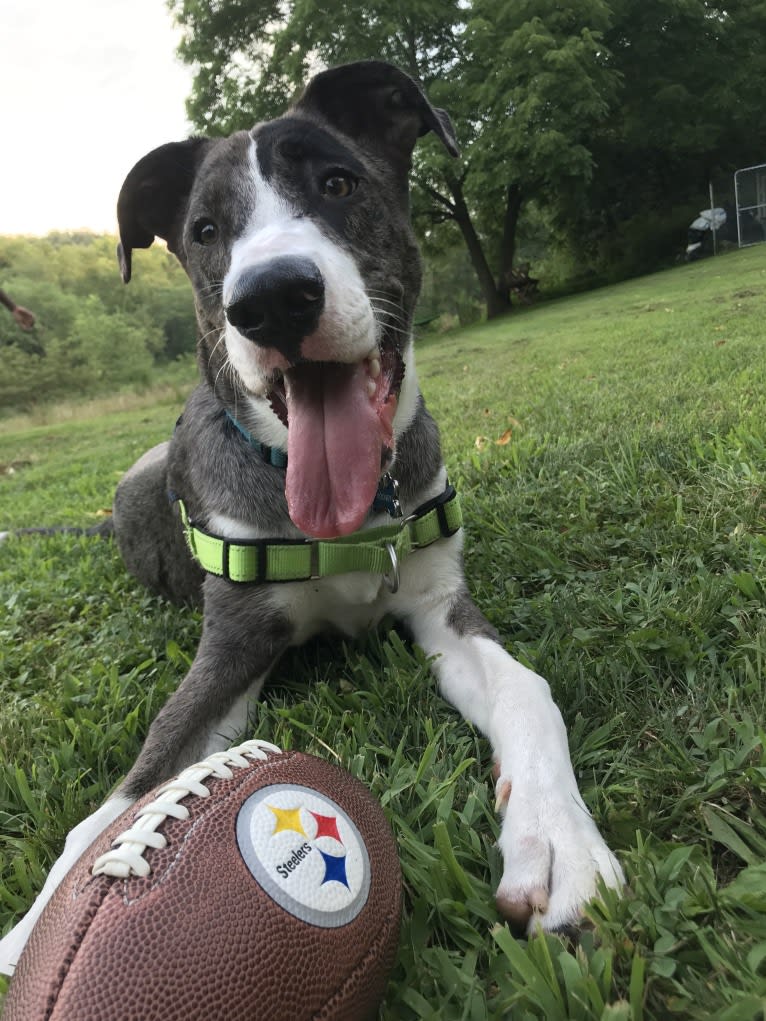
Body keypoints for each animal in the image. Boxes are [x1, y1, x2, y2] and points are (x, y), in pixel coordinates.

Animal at [0, 57, 625, 971]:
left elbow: (527, 688)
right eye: (204, 230)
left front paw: (557, 843)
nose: (271, 298)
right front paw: (33, 934)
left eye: (338, 183)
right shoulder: (230, 647)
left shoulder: (439, 606)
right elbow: (132, 785)